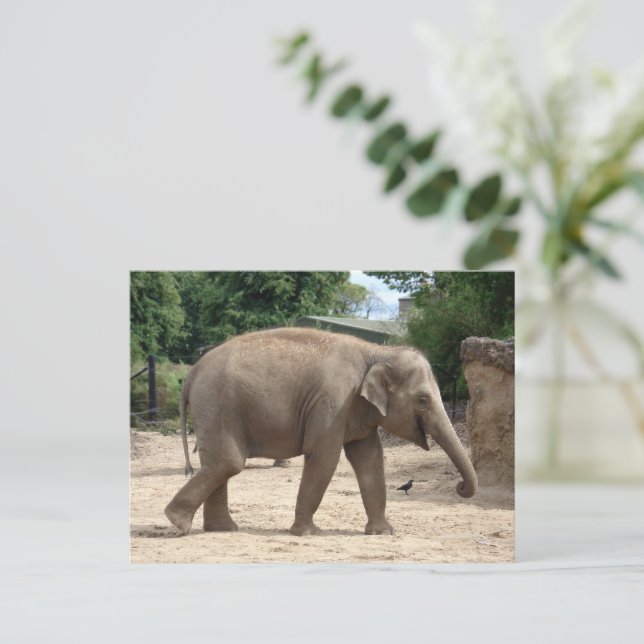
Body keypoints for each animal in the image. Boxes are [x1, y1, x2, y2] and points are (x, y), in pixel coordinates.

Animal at [165, 327, 477, 536]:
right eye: (423, 400)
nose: (460, 487)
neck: (376, 352)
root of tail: (192, 372)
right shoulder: (332, 402)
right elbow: (324, 456)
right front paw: (306, 533)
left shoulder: (356, 409)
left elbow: (370, 460)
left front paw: (384, 533)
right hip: (217, 404)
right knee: (227, 462)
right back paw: (177, 522)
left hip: (217, 409)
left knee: (219, 463)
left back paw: (222, 529)